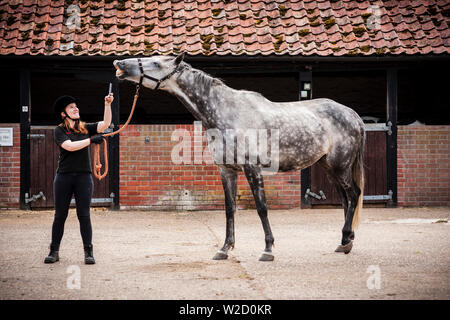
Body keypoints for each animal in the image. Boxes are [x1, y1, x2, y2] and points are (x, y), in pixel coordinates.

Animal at [113, 53, 366, 262]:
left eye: (156, 63)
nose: (119, 64)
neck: (227, 112)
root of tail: (353, 115)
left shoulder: (252, 168)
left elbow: (262, 207)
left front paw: (268, 249)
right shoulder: (227, 170)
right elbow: (229, 209)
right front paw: (224, 249)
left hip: (340, 166)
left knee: (354, 194)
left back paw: (346, 241)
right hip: (329, 167)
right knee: (346, 199)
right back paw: (346, 241)